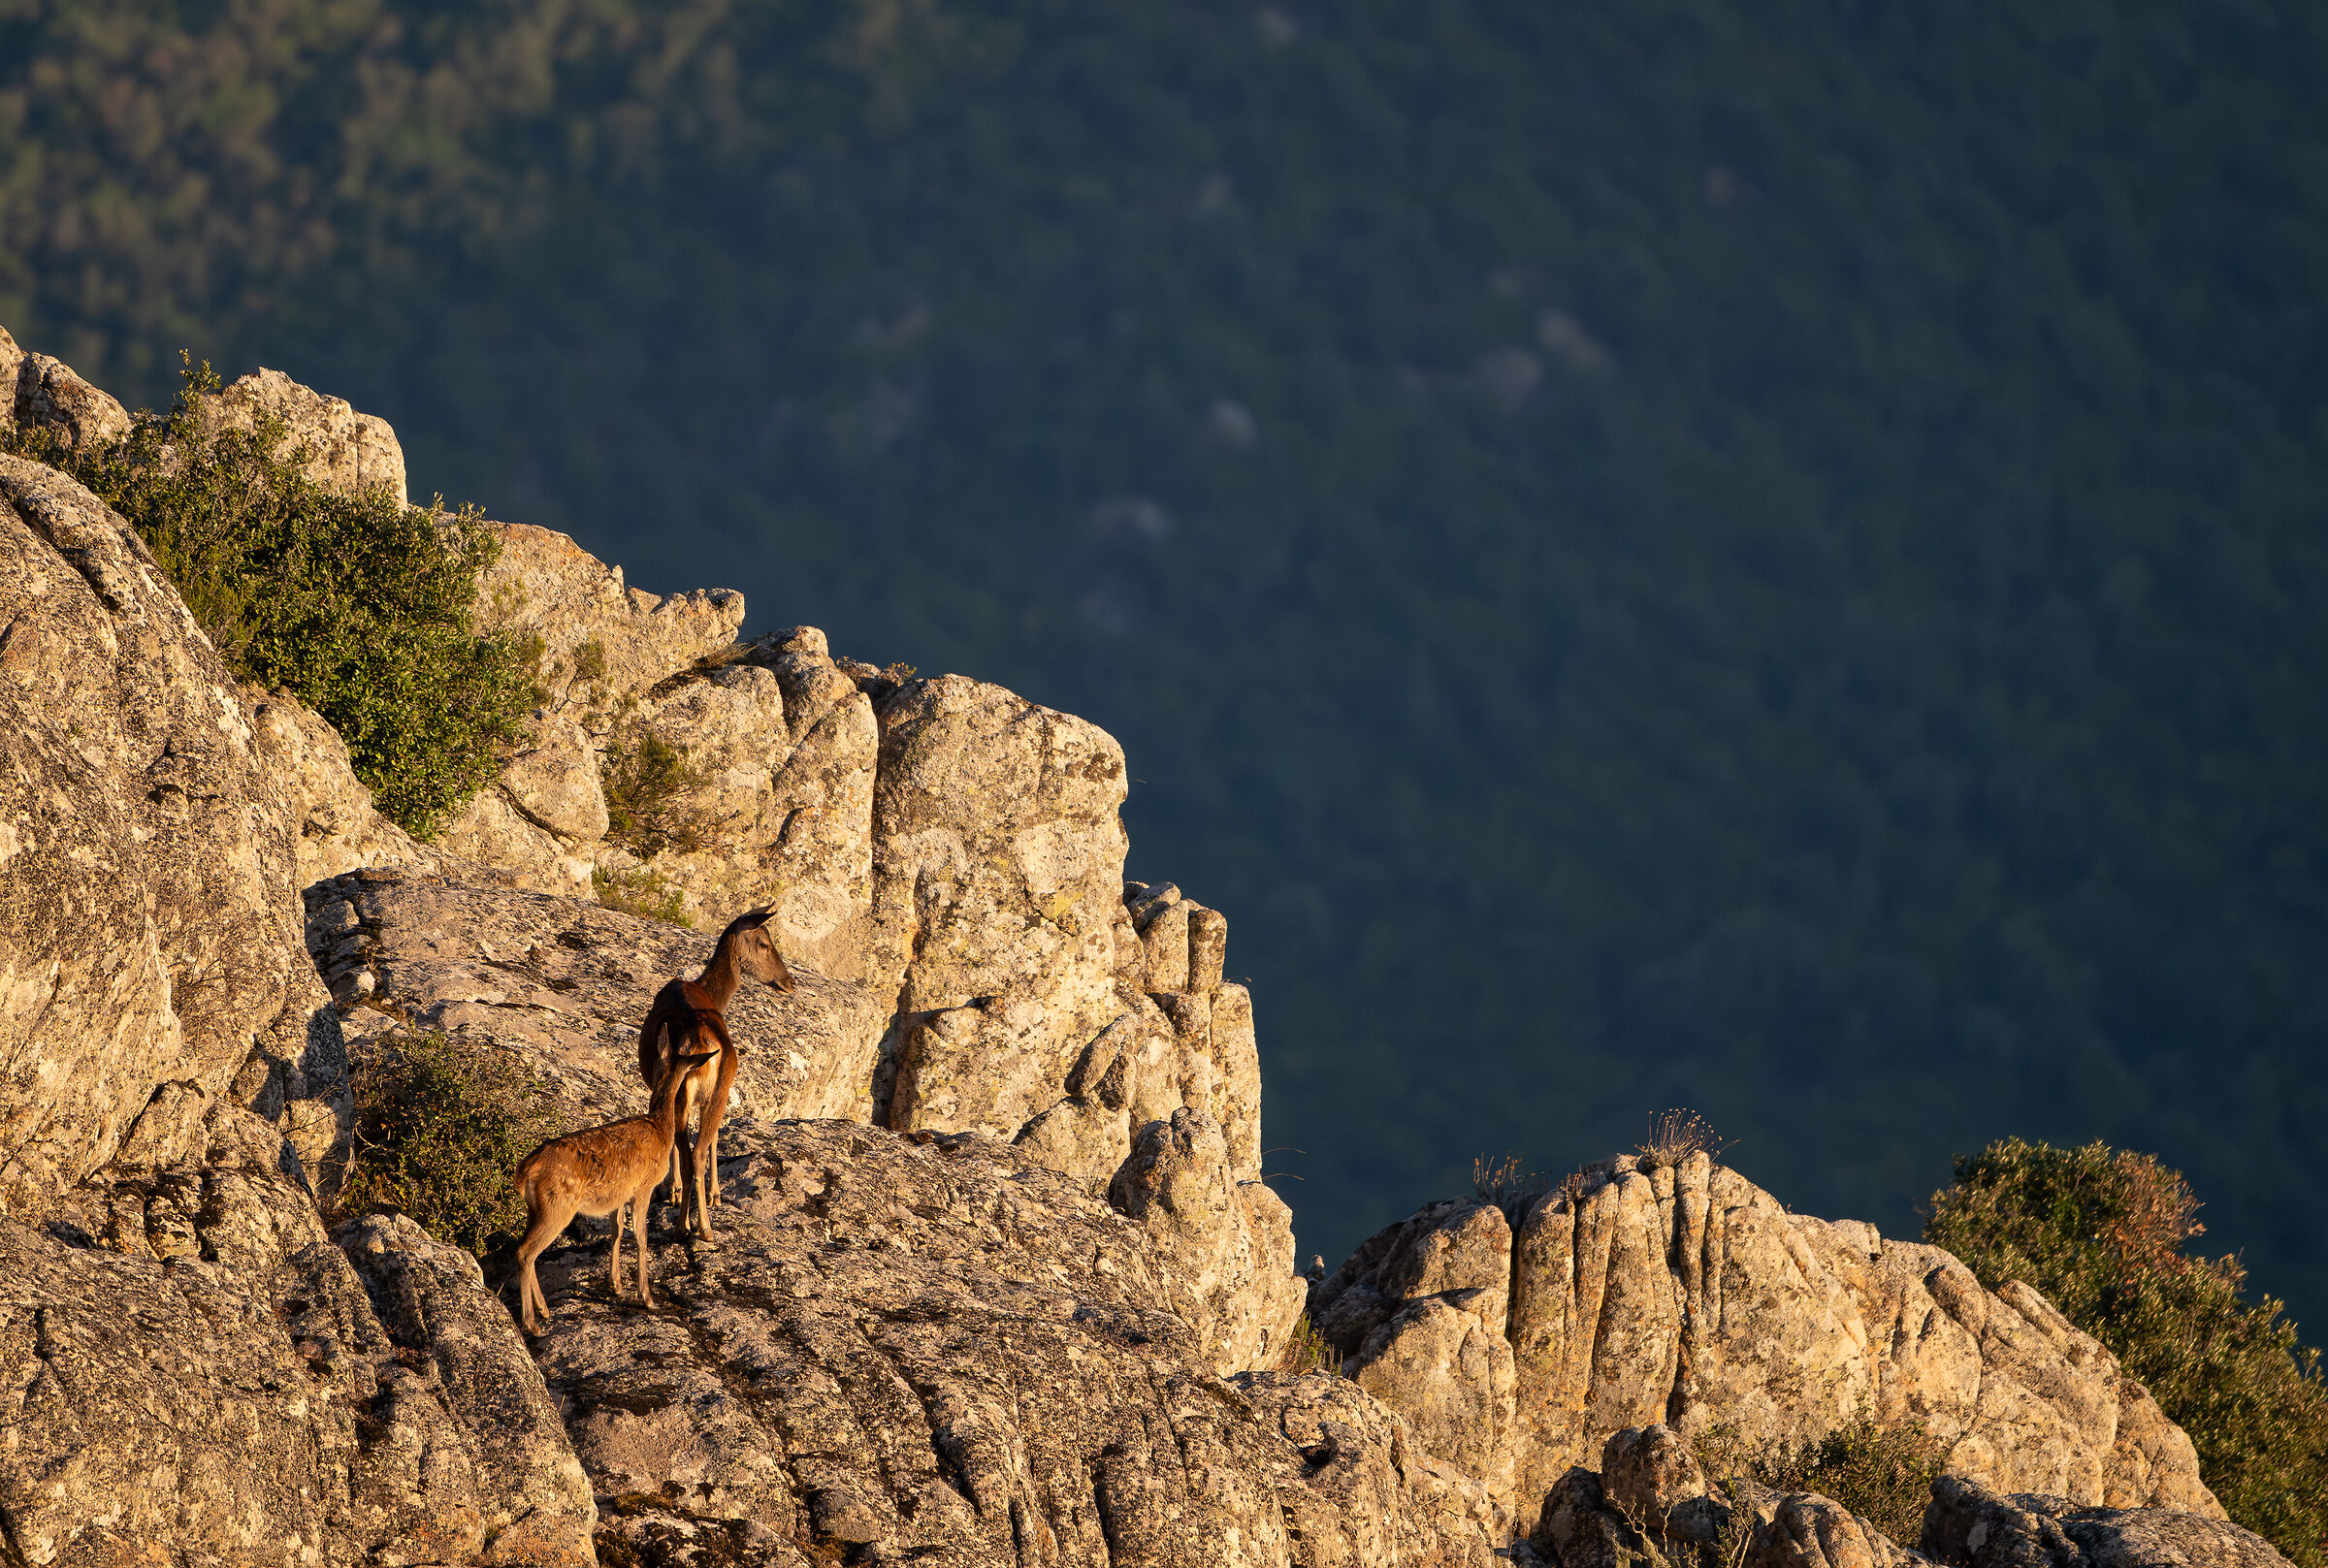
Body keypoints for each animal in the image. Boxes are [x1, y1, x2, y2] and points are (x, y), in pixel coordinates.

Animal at [512, 1047, 717, 1336]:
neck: (660, 1126)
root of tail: (525, 1171)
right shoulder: (643, 1187)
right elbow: (641, 1236)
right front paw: (647, 1298)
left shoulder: (618, 1196)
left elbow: (616, 1231)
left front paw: (617, 1287)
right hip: (556, 1208)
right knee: (525, 1252)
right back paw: (533, 1323)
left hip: (536, 1209)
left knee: (526, 1250)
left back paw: (544, 1310)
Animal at [636, 907, 794, 1240]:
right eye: (765, 943)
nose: (789, 981)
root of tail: (697, 1041)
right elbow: (713, 1137)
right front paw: (713, 1194)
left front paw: (679, 1192)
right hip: (715, 1085)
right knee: (695, 1150)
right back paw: (701, 1227)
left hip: (685, 1087)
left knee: (688, 1152)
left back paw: (685, 1225)